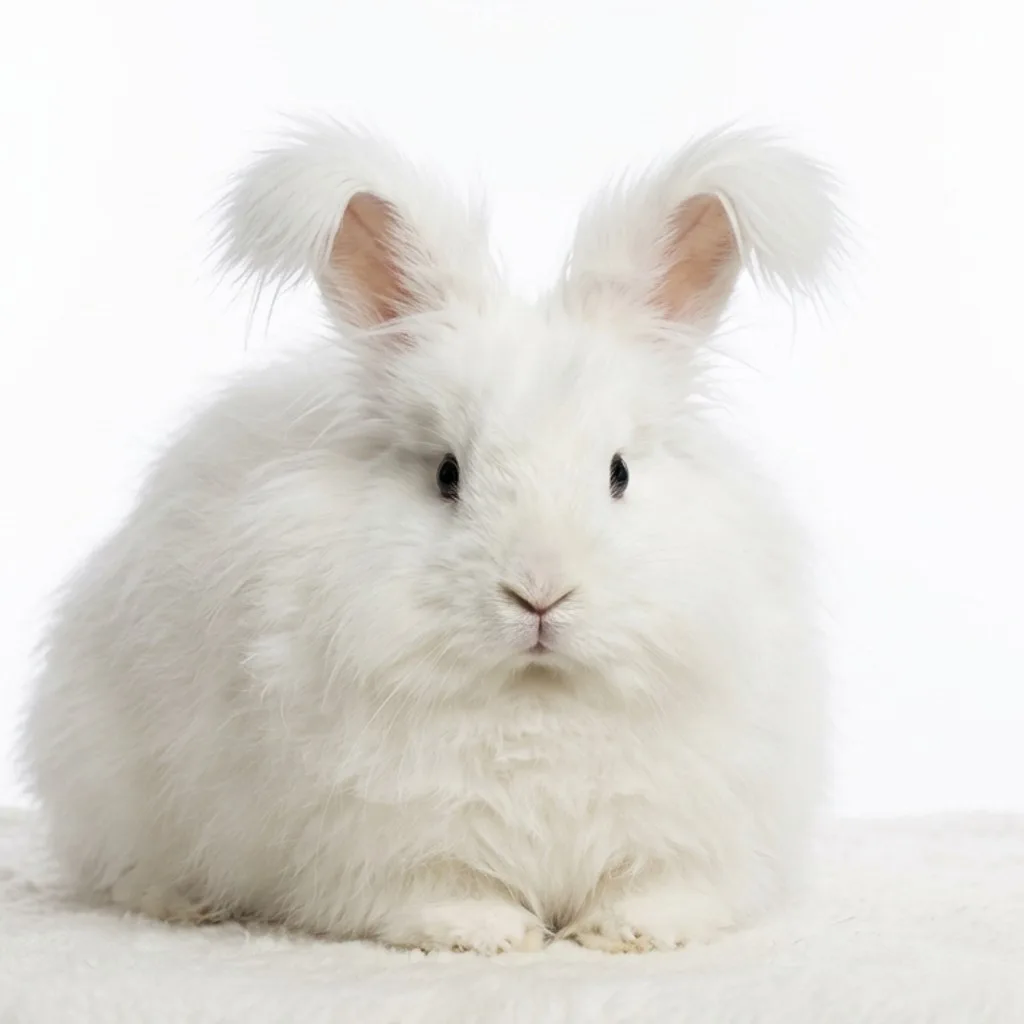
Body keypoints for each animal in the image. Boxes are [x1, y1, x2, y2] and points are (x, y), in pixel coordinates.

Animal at [20, 120, 842, 954]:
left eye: (618, 472)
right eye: (448, 473)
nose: (539, 593)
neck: (535, 697)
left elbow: (662, 885)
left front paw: (629, 931)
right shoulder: (382, 839)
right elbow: (439, 889)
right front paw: (489, 933)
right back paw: (181, 904)